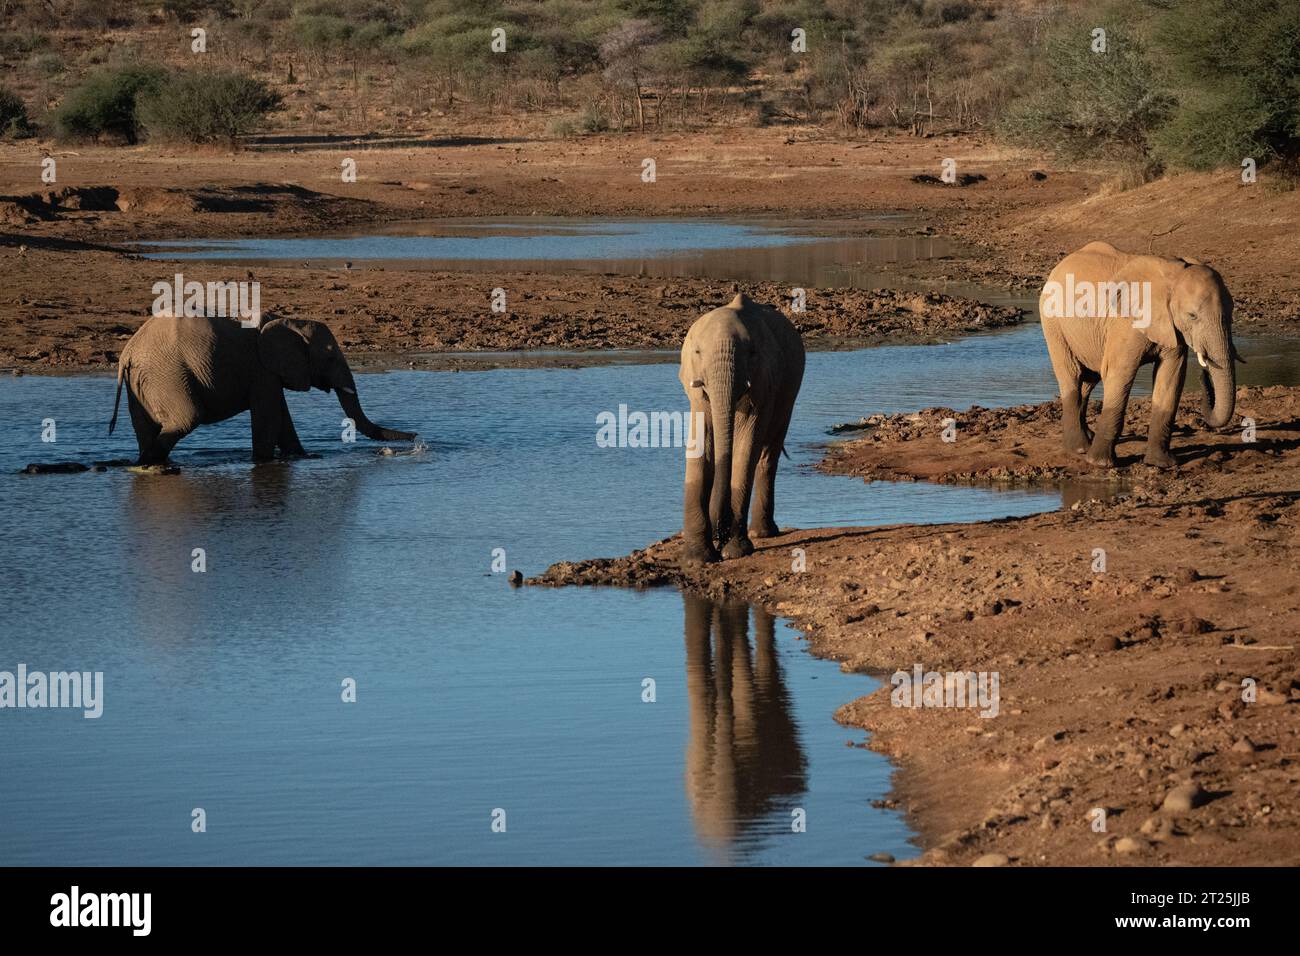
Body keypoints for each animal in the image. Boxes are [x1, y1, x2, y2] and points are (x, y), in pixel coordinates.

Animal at [113, 314, 416, 463]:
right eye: (330, 358)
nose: (416, 436)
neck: (289, 321)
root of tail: (128, 353)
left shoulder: (270, 374)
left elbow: (282, 419)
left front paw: (304, 457)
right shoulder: (261, 371)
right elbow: (270, 419)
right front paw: (264, 461)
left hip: (143, 382)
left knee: (145, 429)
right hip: (167, 376)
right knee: (187, 419)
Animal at [681, 291, 800, 561]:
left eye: (752, 352)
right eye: (697, 351)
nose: (720, 531)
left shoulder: (763, 380)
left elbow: (747, 448)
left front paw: (735, 551)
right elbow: (700, 444)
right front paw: (698, 557)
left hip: (789, 393)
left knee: (768, 455)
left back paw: (762, 533)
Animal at [1034, 240, 1237, 468]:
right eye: (1192, 316)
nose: (1204, 375)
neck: (1173, 275)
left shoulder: (1171, 326)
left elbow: (1171, 376)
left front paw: (1161, 464)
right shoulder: (1125, 324)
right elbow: (1119, 374)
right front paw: (1100, 464)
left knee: (1089, 380)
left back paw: (1088, 438)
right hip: (1052, 322)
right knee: (1073, 376)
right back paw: (1079, 449)